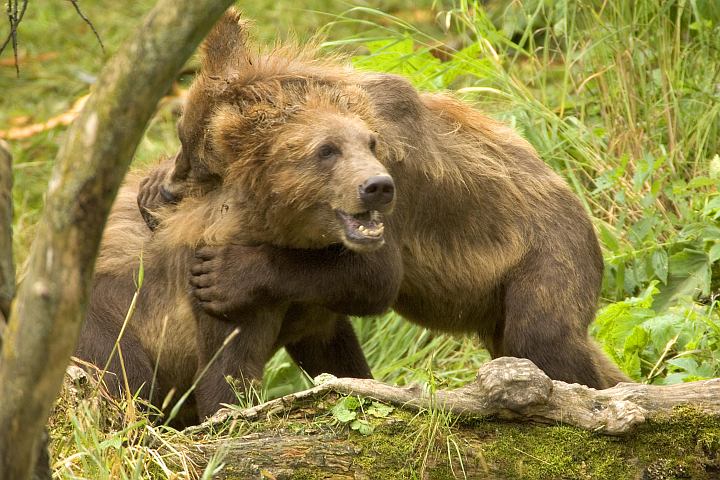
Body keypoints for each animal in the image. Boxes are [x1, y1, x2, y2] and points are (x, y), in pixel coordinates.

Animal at [74, 12, 404, 424]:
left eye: (370, 142)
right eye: (326, 150)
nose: (378, 186)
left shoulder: (316, 303)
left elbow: (352, 327)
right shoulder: (208, 295)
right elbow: (226, 373)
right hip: (107, 319)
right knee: (127, 380)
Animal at [139, 9, 629, 390]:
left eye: (197, 155)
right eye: (183, 139)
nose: (167, 192)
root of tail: (579, 201)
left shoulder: (392, 181)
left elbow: (375, 275)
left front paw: (223, 274)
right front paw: (150, 184)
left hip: (544, 252)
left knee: (544, 336)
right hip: (497, 299)